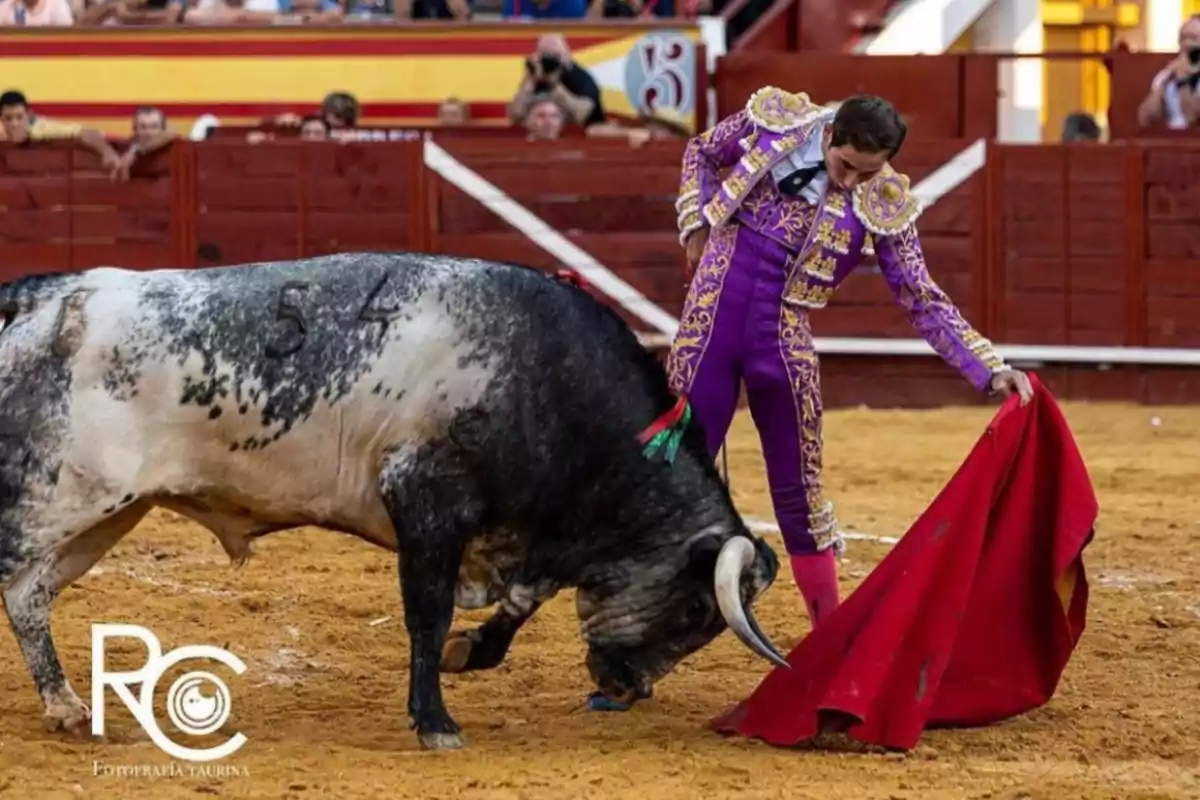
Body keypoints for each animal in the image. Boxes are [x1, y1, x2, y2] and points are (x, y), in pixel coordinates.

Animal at [0, 255, 787, 753]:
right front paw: (436, 720)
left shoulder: (520, 533)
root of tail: (45, 296)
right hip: (56, 497)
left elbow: (521, 601)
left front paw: (474, 653)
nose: (628, 689)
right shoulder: (427, 504)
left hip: (106, 511)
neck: (547, 380)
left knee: (28, 596)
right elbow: (426, 617)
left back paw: (67, 708)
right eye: (696, 609)